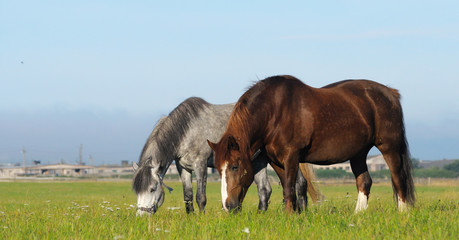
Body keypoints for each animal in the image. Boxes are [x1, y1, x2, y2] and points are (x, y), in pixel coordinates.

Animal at [132, 97, 320, 216]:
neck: (187, 130)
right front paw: (191, 217)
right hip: (260, 161)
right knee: (265, 189)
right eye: (136, 191)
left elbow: (200, 196)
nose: (141, 217)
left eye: (152, 188)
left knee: (299, 183)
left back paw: (301, 214)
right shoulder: (183, 168)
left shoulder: (200, 165)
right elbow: (188, 195)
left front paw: (201, 219)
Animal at [208, 75, 416, 214]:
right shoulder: (276, 161)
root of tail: (390, 93)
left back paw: (403, 213)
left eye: (235, 166)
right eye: (218, 169)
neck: (274, 112)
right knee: (364, 181)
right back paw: (358, 215)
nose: (228, 206)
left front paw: (290, 216)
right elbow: (288, 187)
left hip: (389, 148)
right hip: (358, 153)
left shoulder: (291, 157)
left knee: (399, 179)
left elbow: (290, 187)